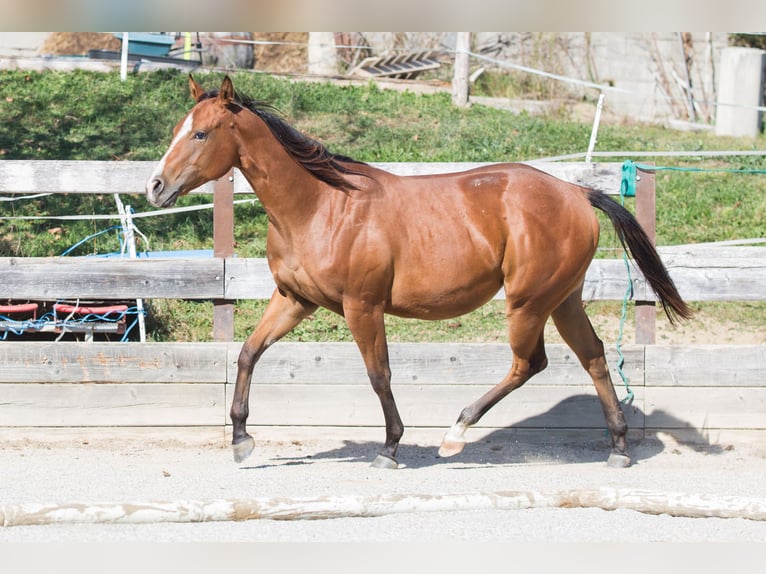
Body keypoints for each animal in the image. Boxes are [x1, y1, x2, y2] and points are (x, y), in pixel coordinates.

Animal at [146, 75, 691, 469]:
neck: (321, 206)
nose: (155, 187)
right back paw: (618, 448)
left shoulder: (361, 306)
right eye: (175, 129)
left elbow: (379, 374)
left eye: (200, 133)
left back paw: (455, 434)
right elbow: (247, 354)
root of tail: (578, 192)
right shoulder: (294, 300)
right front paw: (241, 439)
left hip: (528, 303)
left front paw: (389, 449)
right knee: (594, 356)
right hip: (563, 300)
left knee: (529, 363)